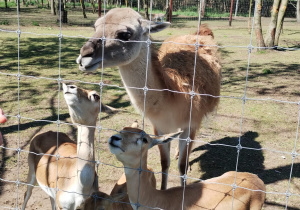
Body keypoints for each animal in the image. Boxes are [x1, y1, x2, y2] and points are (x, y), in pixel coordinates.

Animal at [76, 7, 221, 189]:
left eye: (125, 34)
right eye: (95, 26)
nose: (84, 55)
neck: (174, 97)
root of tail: (200, 32)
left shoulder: (191, 123)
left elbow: (181, 166)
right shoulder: (159, 126)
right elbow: (164, 163)